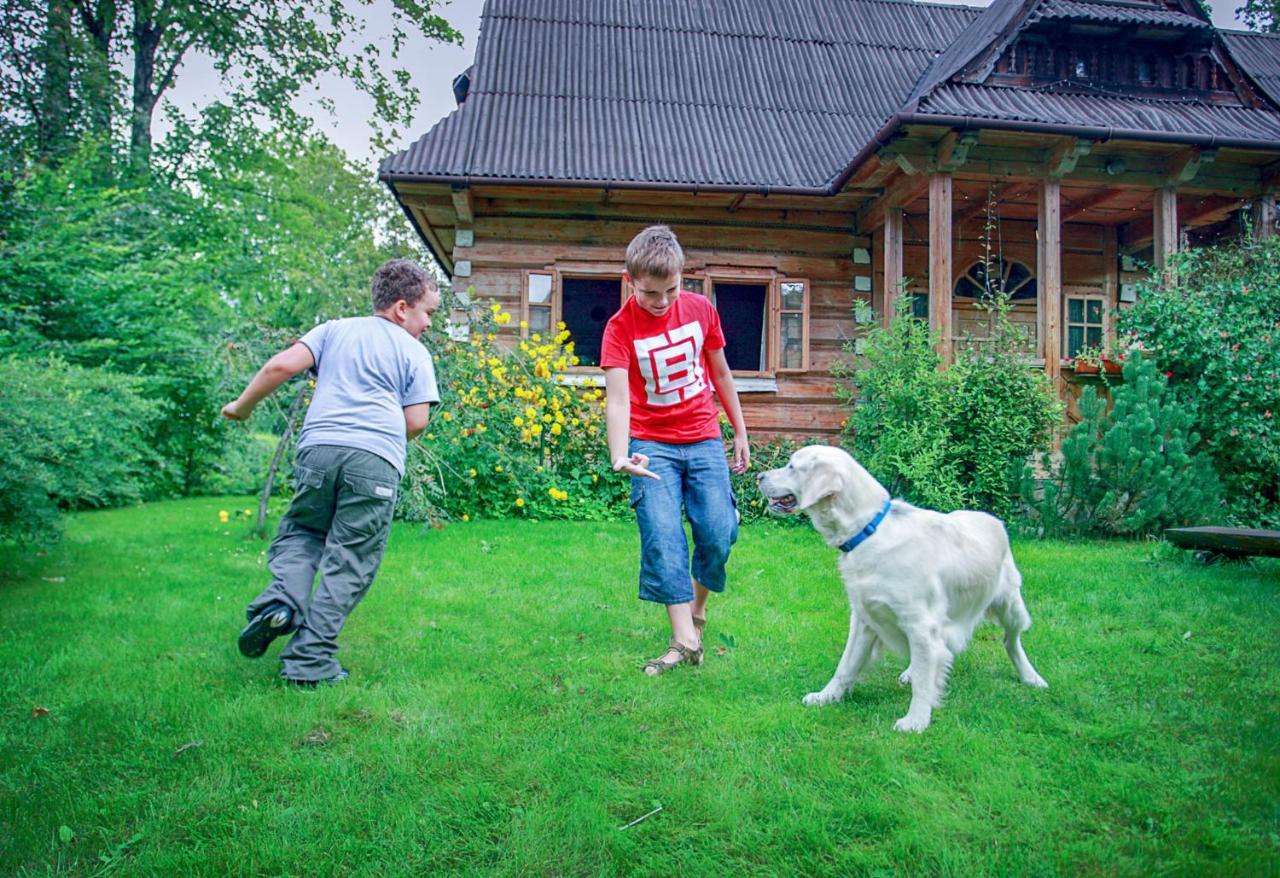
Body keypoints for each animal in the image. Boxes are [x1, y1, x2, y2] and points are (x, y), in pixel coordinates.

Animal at [752, 447, 1044, 737]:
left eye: (792, 466)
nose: (758, 476)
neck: (868, 531)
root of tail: (993, 519)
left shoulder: (920, 624)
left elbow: (925, 682)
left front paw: (916, 720)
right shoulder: (864, 618)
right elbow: (846, 666)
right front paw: (827, 696)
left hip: (1011, 606)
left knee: (1010, 641)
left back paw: (1031, 677)